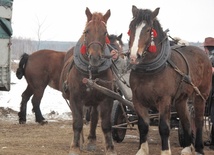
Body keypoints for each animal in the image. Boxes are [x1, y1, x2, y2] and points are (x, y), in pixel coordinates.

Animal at [59, 7, 117, 155]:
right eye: (87, 31)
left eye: (105, 32)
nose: (95, 58)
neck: (92, 71)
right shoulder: (75, 98)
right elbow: (78, 122)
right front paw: (75, 147)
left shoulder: (106, 98)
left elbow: (106, 124)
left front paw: (110, 148)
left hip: (94, 101)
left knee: (94, 117)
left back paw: (91, 140)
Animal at [127, 5, 212, 154]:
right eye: (131, 27)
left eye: (148, 30)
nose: (133, 56)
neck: (149, 71)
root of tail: (202, 53)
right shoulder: (137, 99)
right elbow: (142, 125)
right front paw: (142, 150)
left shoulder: (164, 99)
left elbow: (164, 127)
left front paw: (165, 151)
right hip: (181, 100)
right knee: (186, 121)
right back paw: (187, 148)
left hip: (201, 95)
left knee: (199, 120)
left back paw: (199, 148)